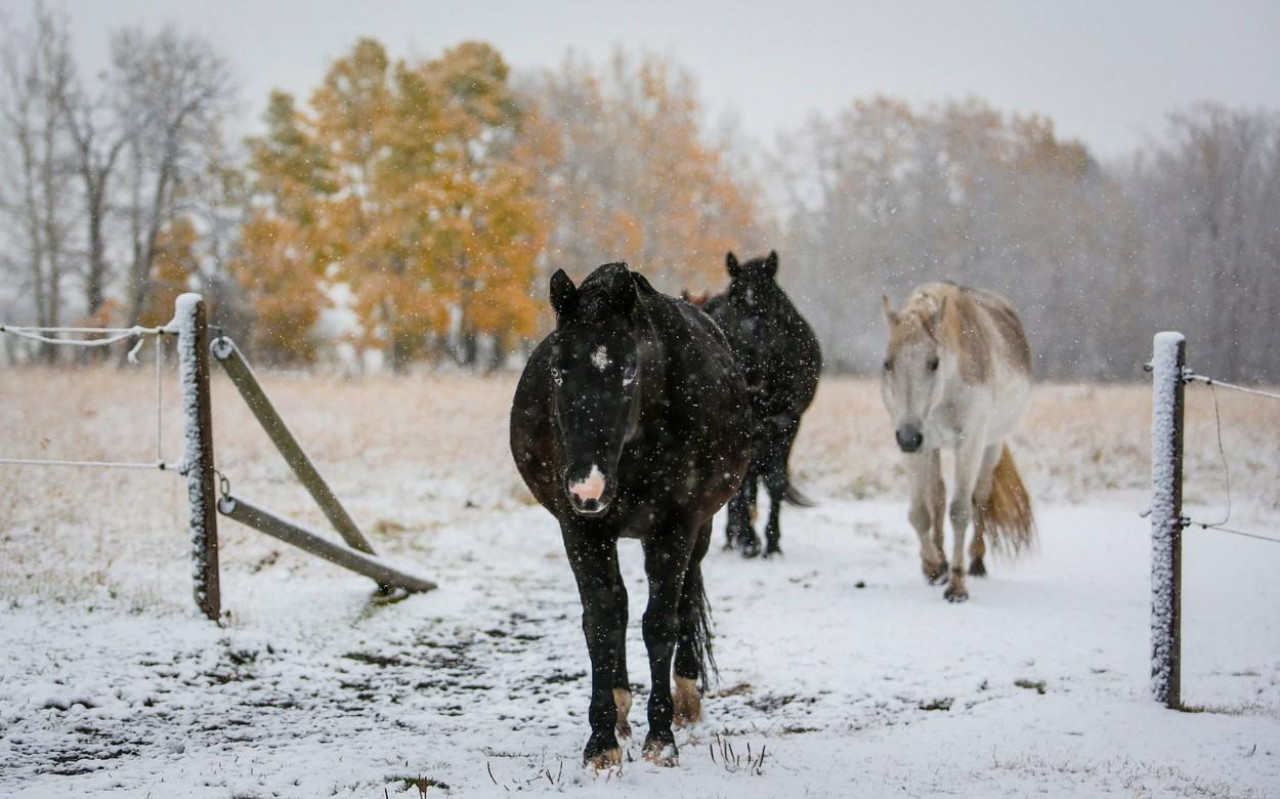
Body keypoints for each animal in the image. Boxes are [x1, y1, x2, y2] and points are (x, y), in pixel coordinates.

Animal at [506, 262, 747, 768]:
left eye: (628, 370)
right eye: (558, 370)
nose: (588, 487)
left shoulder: (675, 528)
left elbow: (660, 624)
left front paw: (661, 738)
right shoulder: (580, 529)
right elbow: (602, 617)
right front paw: (602, 743)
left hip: (699, 530)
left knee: (685, 598)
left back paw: (687, 699)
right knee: (617, 605)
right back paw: (619, 710)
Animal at [701, 249, 819, 555]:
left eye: (769, 308)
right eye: (734, 304)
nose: (747, 366)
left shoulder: (789, 421)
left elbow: (775, 481)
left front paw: (772, 544)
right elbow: (742, 482)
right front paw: (750, 539)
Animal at [885, 284, 1034, 601]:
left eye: (934, 363)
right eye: (888, 363)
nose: (909, 436)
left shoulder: (970, 443)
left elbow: (960, 510)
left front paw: (957, 585)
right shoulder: (917, 447)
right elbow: (920, 513)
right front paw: (932, 566)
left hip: (991, 445)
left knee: (980, 496)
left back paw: (976, 561)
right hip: (932, 448)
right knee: (938, 496)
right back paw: (941, 559)